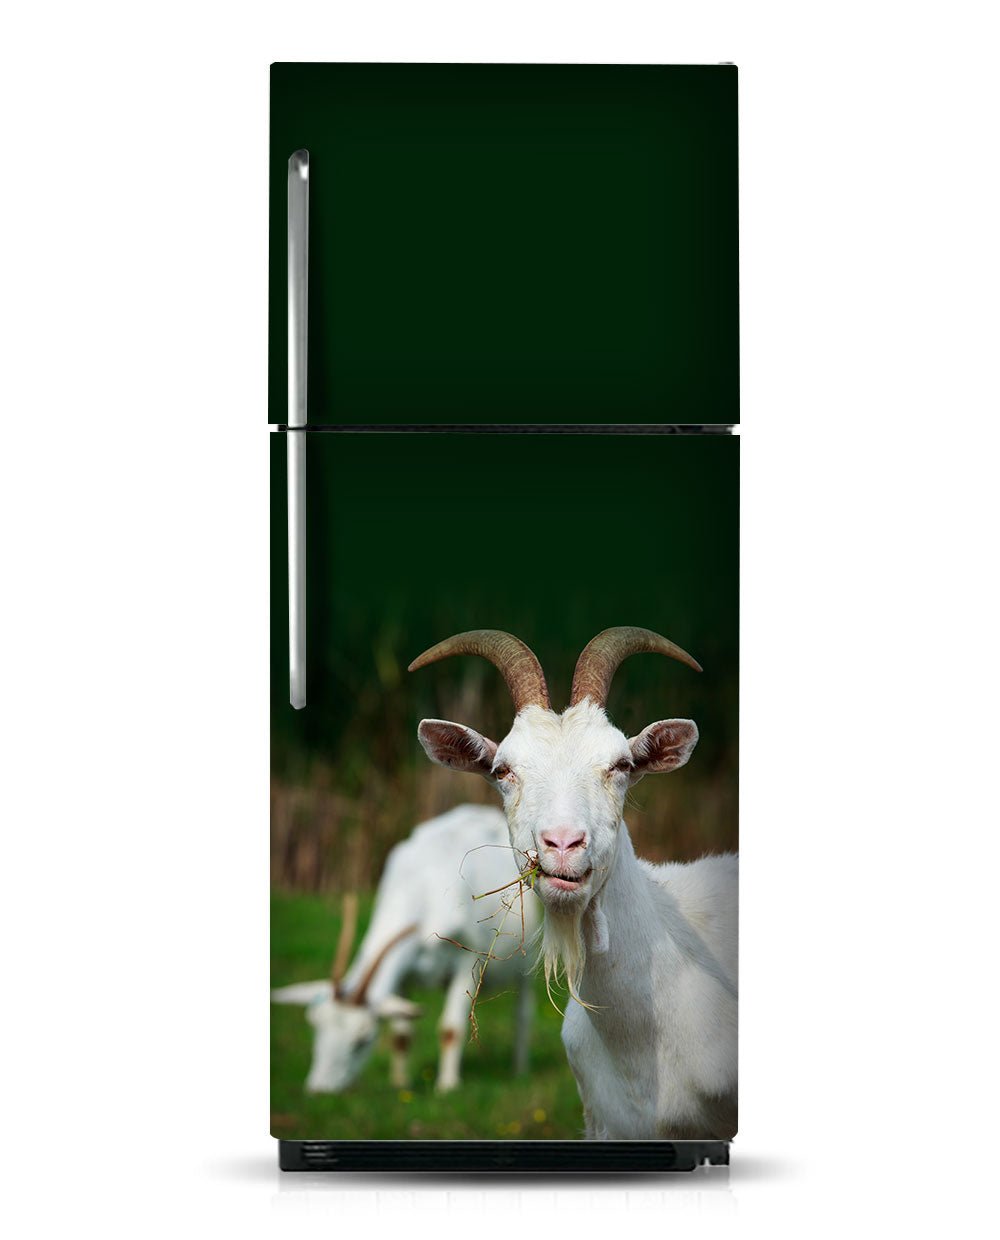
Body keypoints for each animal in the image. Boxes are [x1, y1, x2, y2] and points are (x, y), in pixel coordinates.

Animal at [272, 804, 539, 1094]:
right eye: (316, 1027)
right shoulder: (404, 973)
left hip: (526, 963)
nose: (319, 1090)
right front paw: (400, 1084)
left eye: (362, 1040)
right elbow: (401, 1035)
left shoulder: (468, 960)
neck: (422, 882)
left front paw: (447, 1086)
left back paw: (520, 1071)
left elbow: (451, 1029)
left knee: (523, 1014)